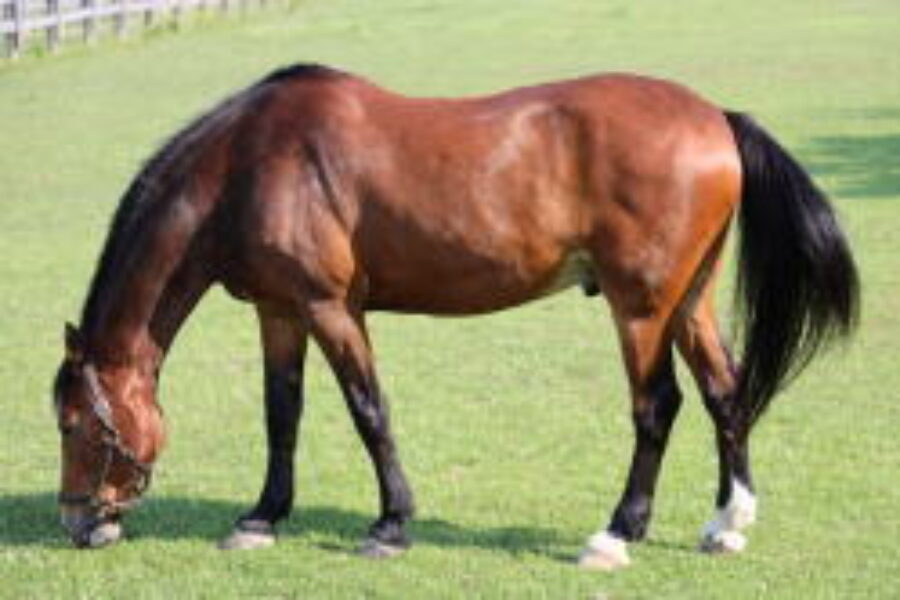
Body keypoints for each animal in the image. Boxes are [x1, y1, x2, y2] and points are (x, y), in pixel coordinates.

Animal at [52, 64, 858, 569]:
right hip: (689, 303)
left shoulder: (330, 308)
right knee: (726, 394)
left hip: (642, 308)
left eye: (73, 423)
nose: (77, 522)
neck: (250, 163)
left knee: (657, 406)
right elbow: (283, 413)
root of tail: (715, 118)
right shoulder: (281, 312)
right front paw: (261, 517)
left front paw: (391, 524)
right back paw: (727, 523)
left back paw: (616, 534)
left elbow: (368, 410)